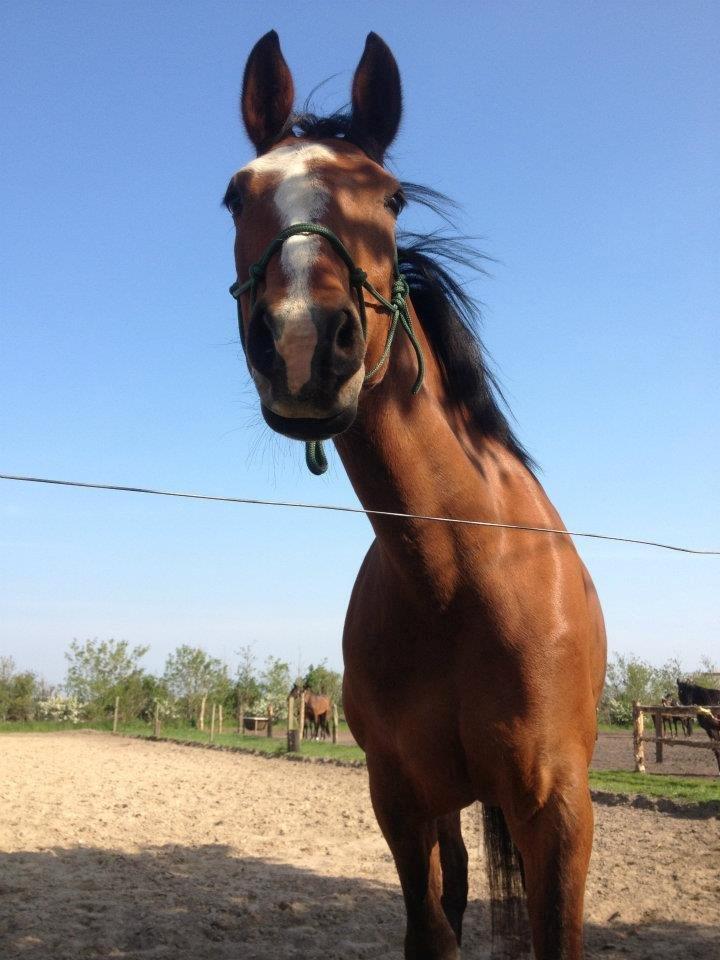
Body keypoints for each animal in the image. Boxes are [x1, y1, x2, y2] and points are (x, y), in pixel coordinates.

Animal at [226, 31, 608, 960]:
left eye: (391, 197)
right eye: (233, 196)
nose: (303, 343)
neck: (461, 576)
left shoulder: (559, 808)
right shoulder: (398, 797)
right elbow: (430, 932)